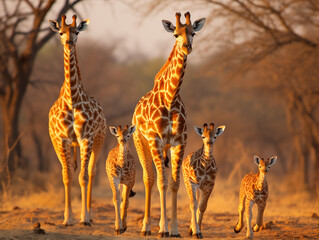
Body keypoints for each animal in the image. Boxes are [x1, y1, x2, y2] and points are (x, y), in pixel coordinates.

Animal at [48, 15, 107, 227]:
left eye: (77, 32)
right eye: (60, 32)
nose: (69, 41)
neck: (73, 100)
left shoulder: (86, 139)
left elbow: (83, 177)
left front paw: (85, 217)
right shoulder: (62, 140)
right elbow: (67, 176)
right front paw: (67, 218)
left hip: (99, 140)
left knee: (92, 171)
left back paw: (89, 213)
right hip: (58, 143)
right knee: (69, 171)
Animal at [133, 12, 206, 237]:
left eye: (193, 33)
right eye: (175, 34)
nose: (187, 46)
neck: (171, 98)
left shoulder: (179, 142)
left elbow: (174, 184)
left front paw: (173, 229)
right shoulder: (155, 140)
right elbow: (161, 182)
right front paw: (163, 229)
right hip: (140, 141)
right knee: (148, 178)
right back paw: (147, 227)